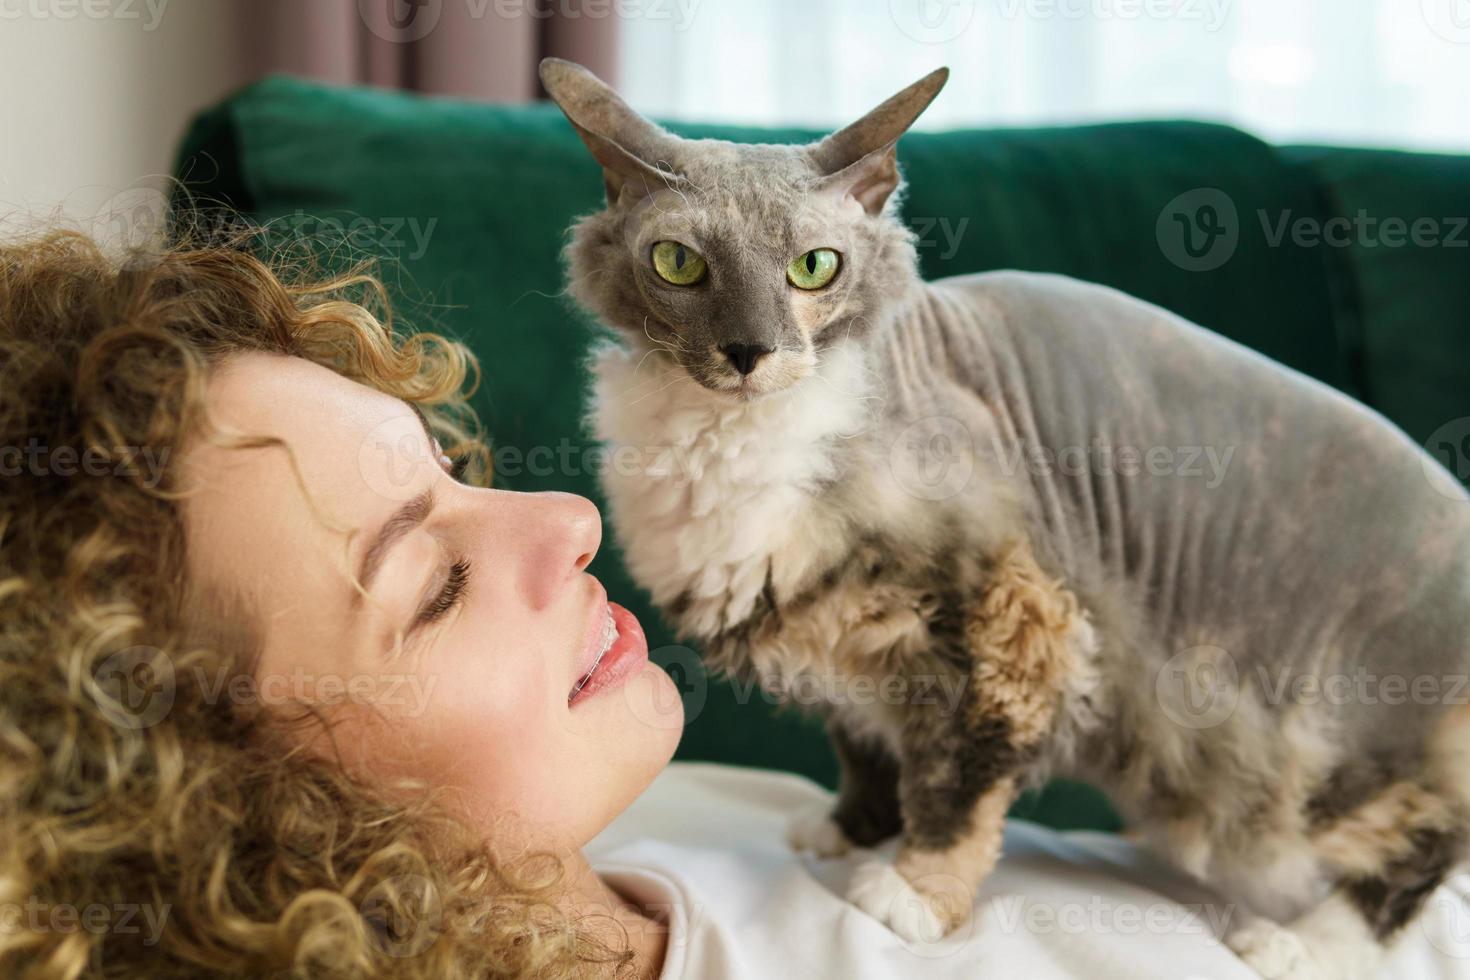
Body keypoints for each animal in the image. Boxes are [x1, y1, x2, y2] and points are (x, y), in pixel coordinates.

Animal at [538, 57, 1470, 975]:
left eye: (813, 268)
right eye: (677, 264)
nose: (747, 350)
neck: (720, 441)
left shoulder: (1014, 621)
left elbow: (958, 777)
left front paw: (913, 893)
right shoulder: (831, 623)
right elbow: (863, 743)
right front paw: (846, 832)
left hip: (1318, 744)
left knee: (1423, 845)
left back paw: (1296, 943)